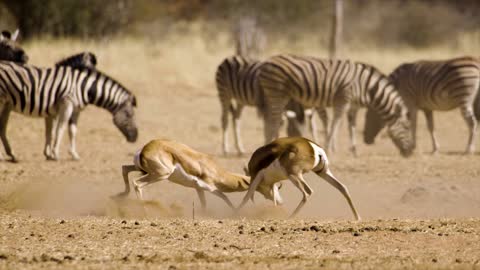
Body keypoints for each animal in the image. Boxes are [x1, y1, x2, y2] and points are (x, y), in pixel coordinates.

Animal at [0, 60, 139, 162]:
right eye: (129, 115)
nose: (135, 138)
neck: (85, 87)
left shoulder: (75, 109)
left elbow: (69, 131)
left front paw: (71, 154)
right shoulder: (67, 103)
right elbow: (60, 129)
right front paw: (55, 154)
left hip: (6, 104)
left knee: (2, 128)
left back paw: (12, 155)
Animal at [113, 138, 253, 210]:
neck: (216, 171)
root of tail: (145, 149)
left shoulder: (198, 188)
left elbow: (204, 204)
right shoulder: (210, 188)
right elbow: (225, 197)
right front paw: (235, 211)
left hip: (142, 169)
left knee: (124, 168)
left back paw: (119, 196)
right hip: (162, 174)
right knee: (137, 183)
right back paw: (144, 210)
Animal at [258, 53, 412, 157]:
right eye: (406, 127)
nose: (410, 152)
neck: (366, 88)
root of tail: (267, 61)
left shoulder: (353, 106)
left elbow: (351, 127)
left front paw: (354, 151)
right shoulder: (343, 100)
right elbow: (335, 123)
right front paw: (328, 147)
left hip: (277, 95)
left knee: (271, 121)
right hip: (277, 92)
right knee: (273, 121)